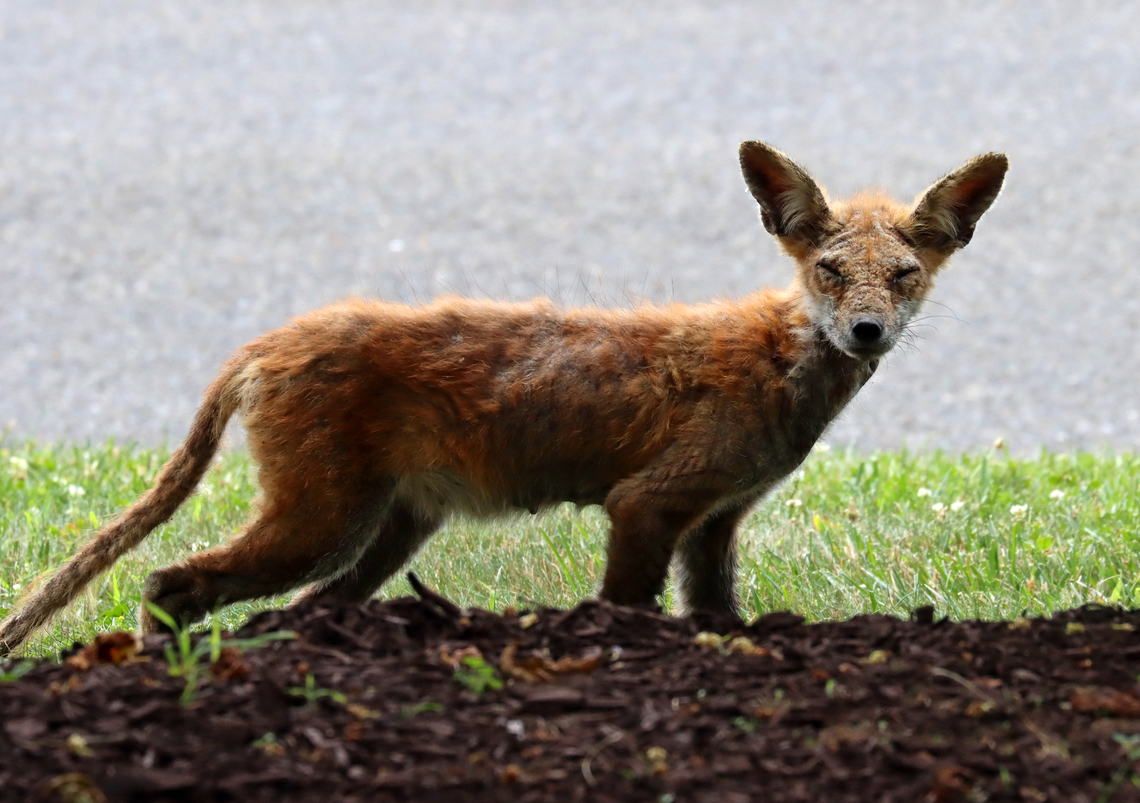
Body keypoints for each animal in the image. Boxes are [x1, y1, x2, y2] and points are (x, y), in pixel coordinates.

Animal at [0, 142, 1007, 655]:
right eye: (830, 271)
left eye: (904, 276)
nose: (865, 331)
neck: (779, 372)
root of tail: (266, 342)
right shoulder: (648, 504)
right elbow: (629, 611)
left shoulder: (716, 522)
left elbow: (717, 620)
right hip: (323, 523)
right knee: (169, 581)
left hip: (380, 536)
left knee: (276, 611)